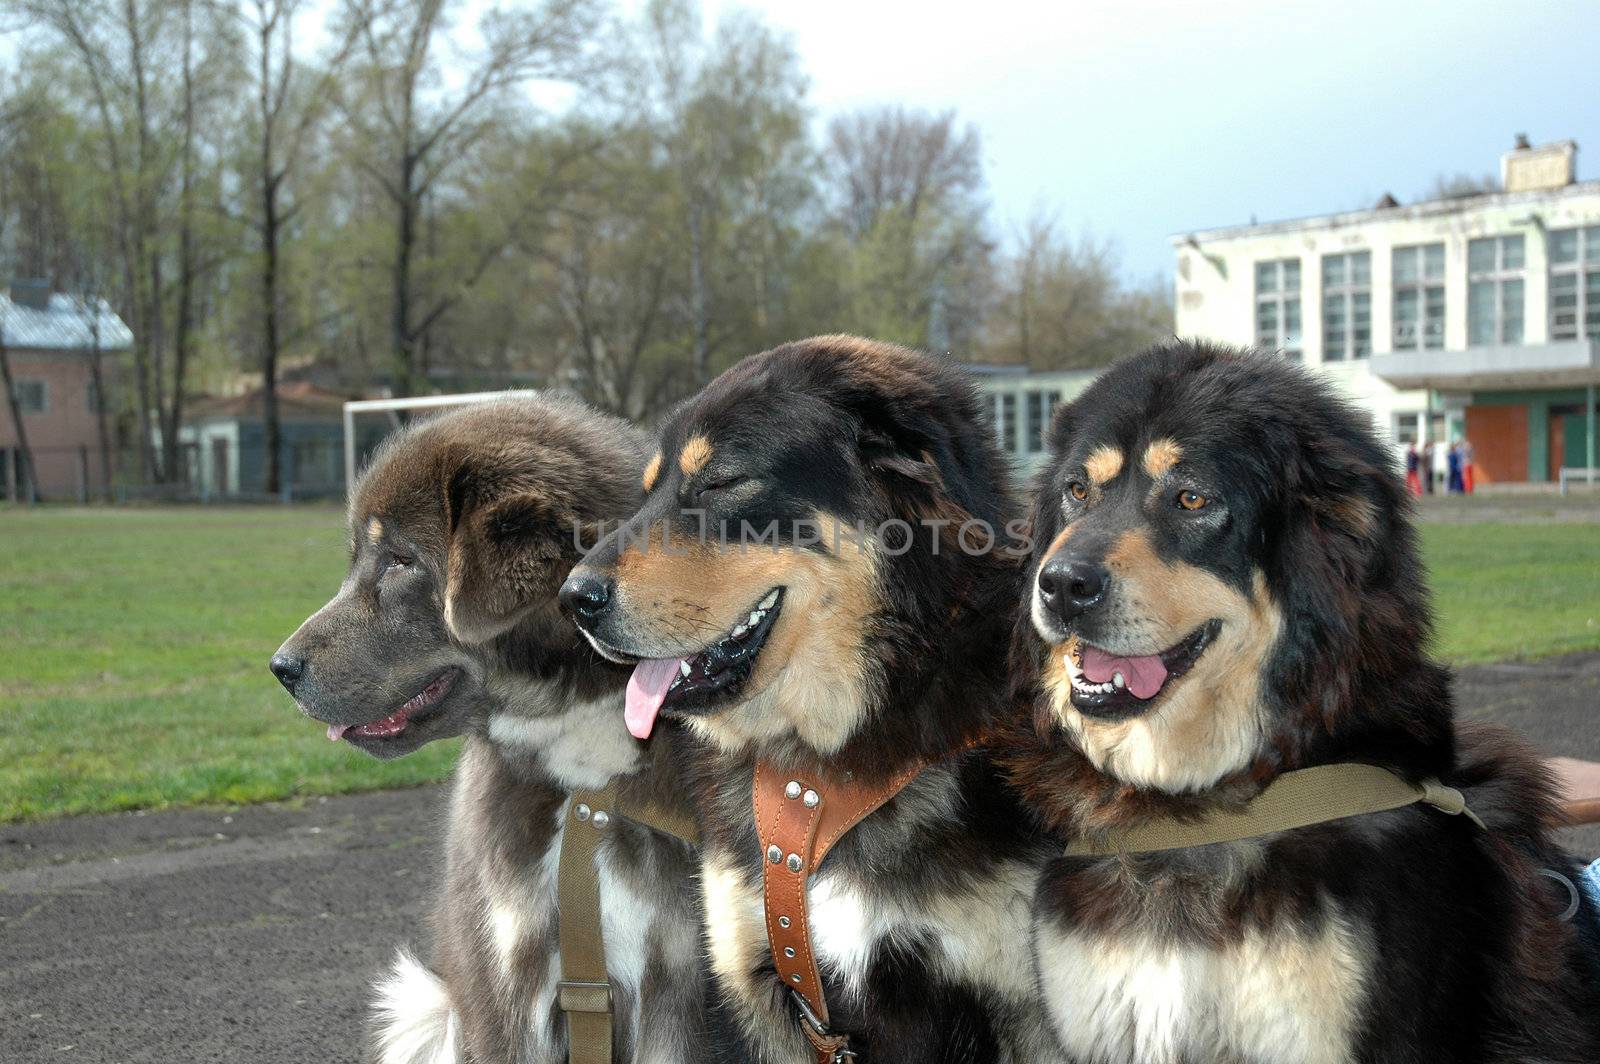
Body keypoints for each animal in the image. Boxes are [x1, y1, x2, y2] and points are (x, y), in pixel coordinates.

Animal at [560, 337, 1062, 1062]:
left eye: (720, 482)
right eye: (647, 490)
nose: (574, 598)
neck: (826, 769)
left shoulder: (1023, 1002)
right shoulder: (762, 987)